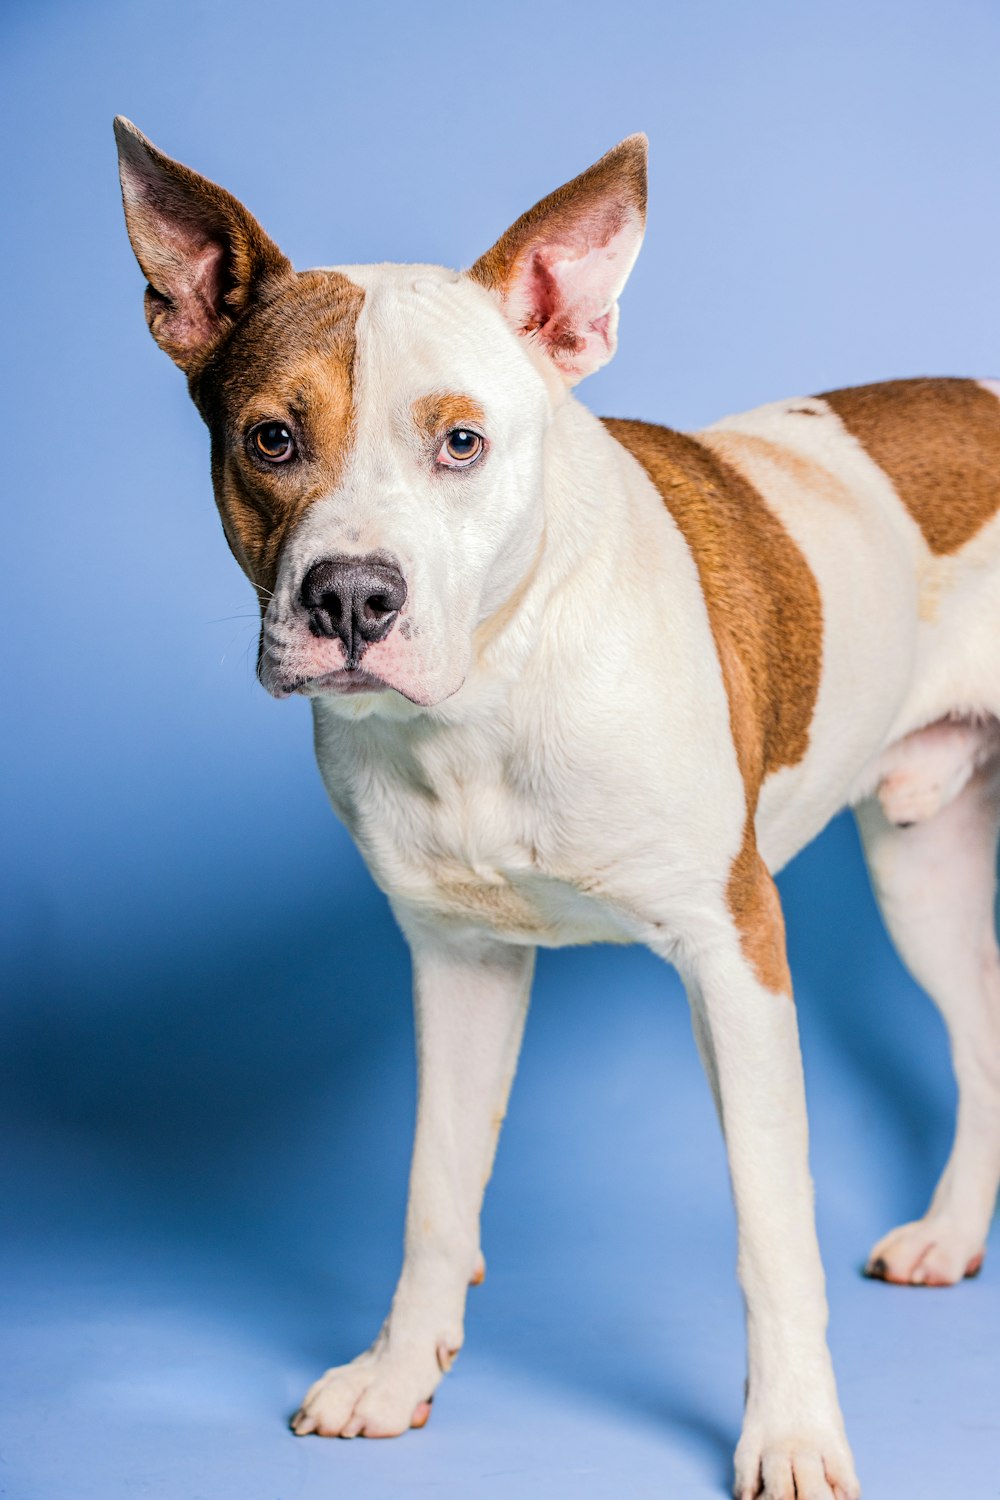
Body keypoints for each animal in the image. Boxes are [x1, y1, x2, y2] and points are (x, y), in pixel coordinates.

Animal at [111, 120, 1000, 1500]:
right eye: (270, 441)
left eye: (461, 444)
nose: (351, 598)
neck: (490, 688)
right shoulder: (457, 960)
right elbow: (434, 1189)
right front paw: (399, 1373)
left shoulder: (735, 953)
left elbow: (770, 1226)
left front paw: (794, 1431)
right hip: (923, 870)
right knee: (982, 1035)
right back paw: (952, 1232)